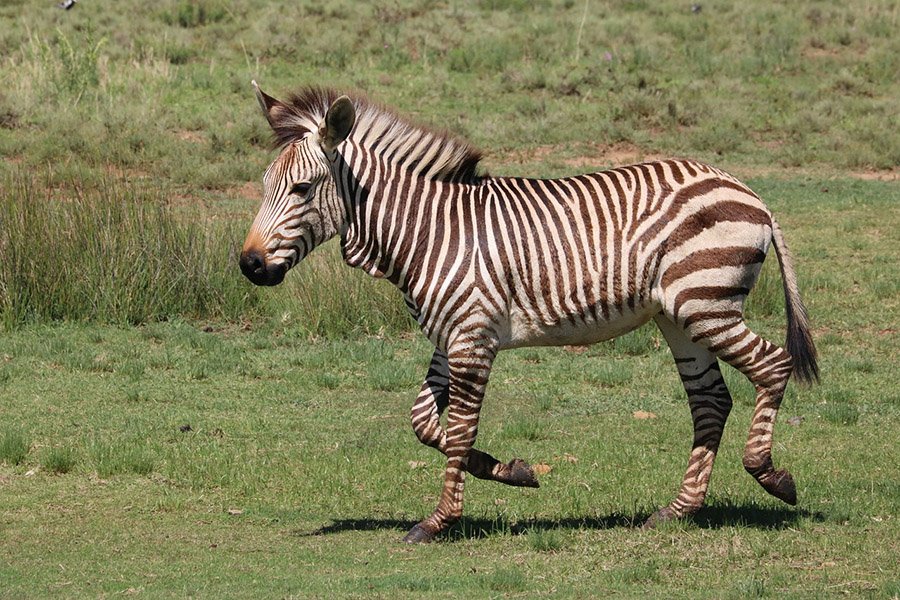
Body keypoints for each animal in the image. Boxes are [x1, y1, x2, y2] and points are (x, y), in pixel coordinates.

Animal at [240, 83, 818, 543]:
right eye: (265, 186)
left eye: (302, 189)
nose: (249, 265)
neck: (427, 230)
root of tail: (748, 191)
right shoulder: (451, 336)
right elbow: (425, 424)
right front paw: (513, 471)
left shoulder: (472, 337)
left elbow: (457, 429)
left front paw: (438, 522)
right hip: (679, 317)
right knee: (711, 401)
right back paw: (678, 510)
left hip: (705, 304)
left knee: (772, 365)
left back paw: (772, 476)